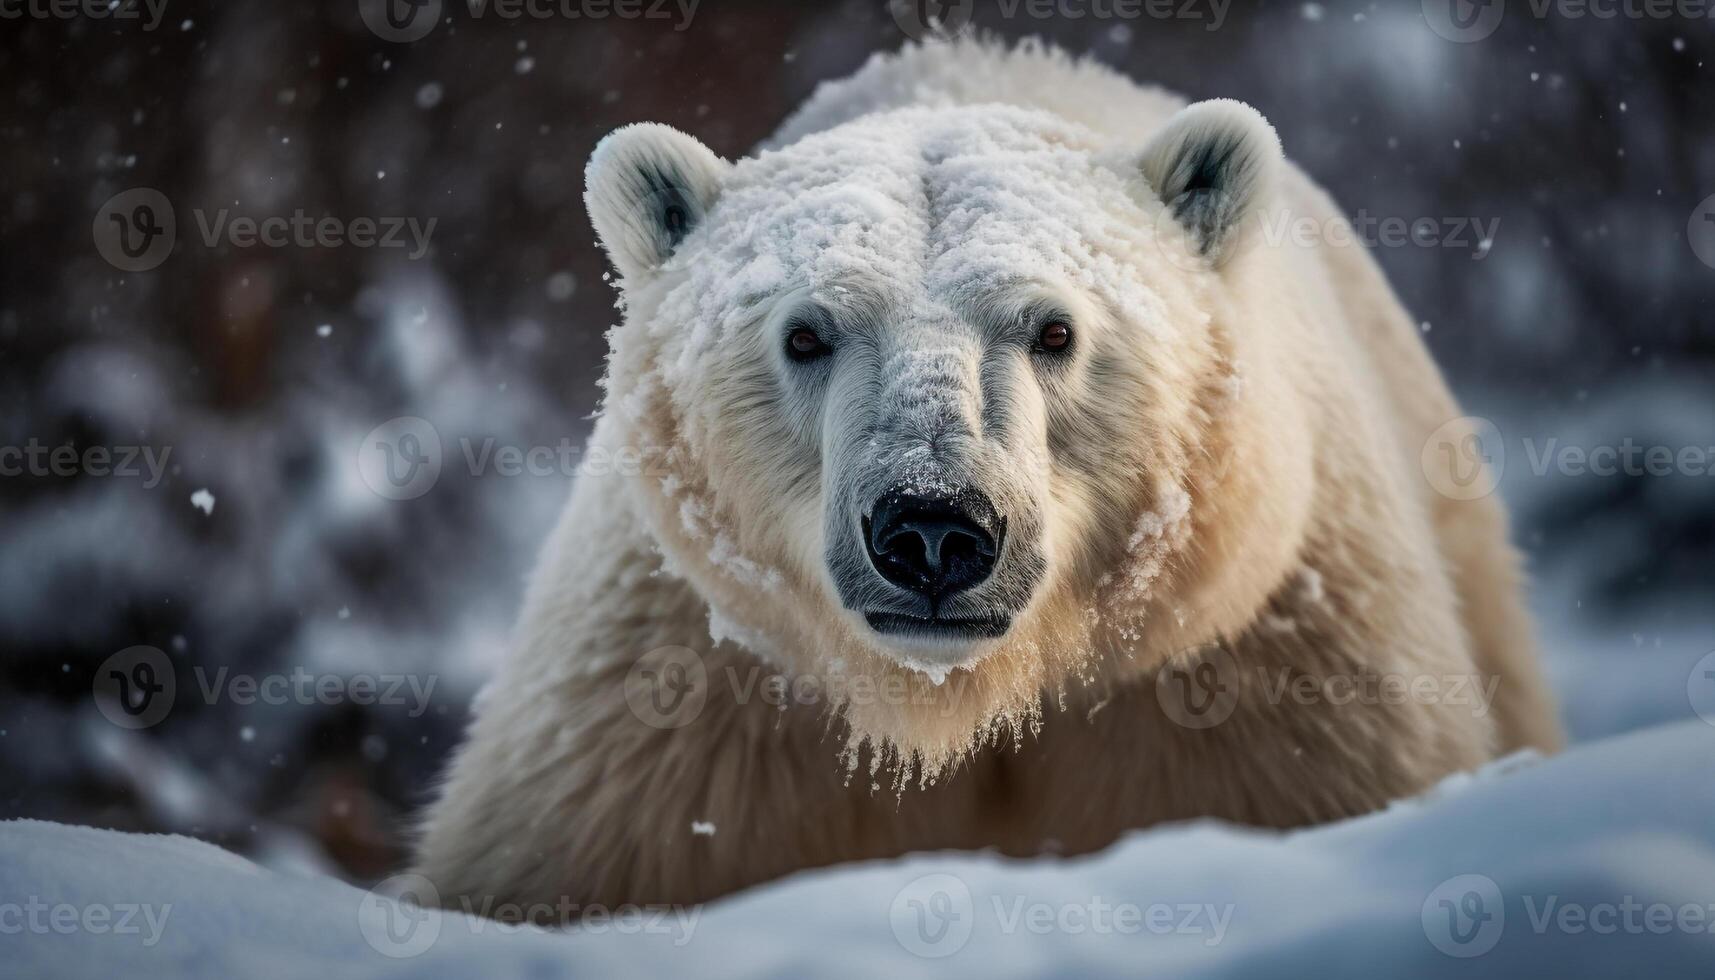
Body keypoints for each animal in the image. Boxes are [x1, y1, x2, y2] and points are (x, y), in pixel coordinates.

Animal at [411, 36, 1557, 913]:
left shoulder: (1257, 671)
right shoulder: (684, 705)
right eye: (805, 334)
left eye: (1054, 330)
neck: (958, 703)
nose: (931, 528)